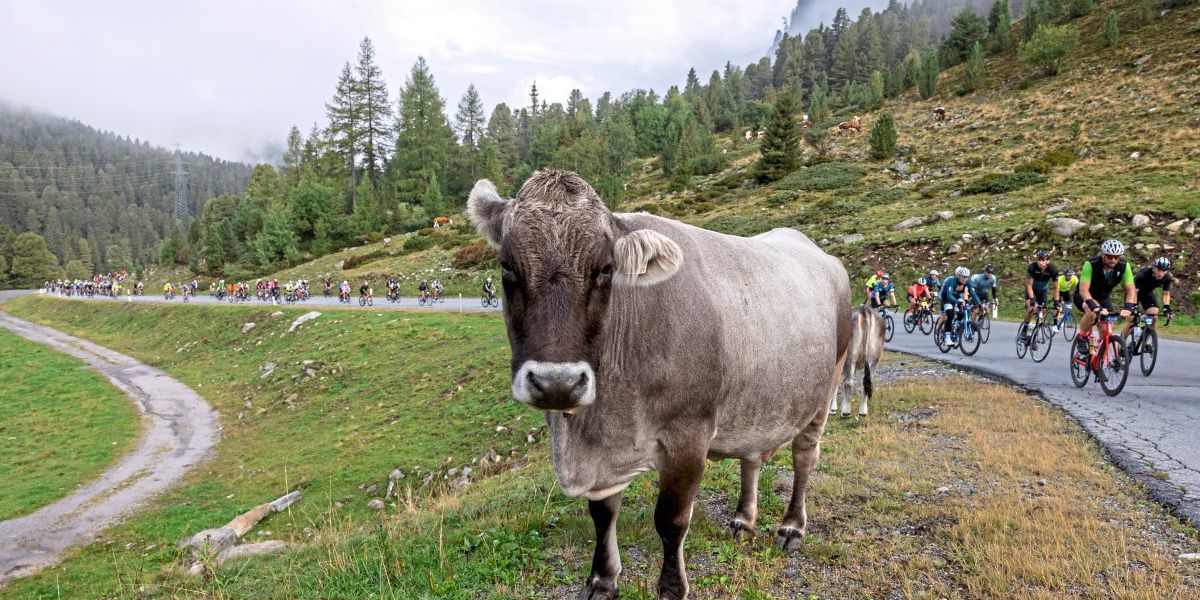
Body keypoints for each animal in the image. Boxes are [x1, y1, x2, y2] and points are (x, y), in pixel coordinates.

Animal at [463, 169, 849, 600]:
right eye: (506, 268)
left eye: (605, 269)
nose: (557, 383)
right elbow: (602, 513)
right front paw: (603, 579)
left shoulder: (689, 437)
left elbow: (671, 520)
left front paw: (671, 587)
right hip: (757, 398)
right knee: (752, 455)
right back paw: (743, 520)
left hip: (826, 387)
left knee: (804, 456)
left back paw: (792, 527)